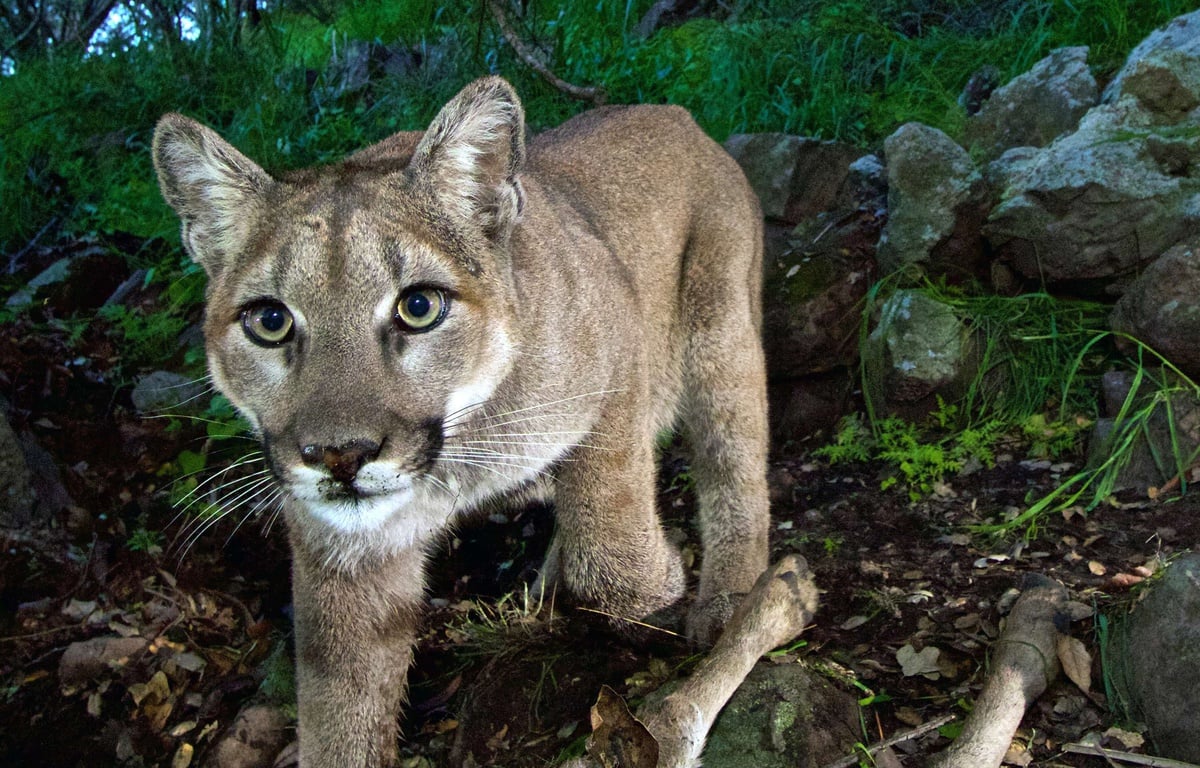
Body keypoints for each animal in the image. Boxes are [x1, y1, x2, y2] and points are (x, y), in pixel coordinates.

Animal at [152, 75, 768, 763]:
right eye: (269, 321)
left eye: (419, 306)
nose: (341, 456)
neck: (457, 453)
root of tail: (673, 112)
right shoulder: (342, 552)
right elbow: (340, 711)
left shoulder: (619, 345)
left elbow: (608, 536)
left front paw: (653, 590)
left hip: (720, 332)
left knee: (736, 465)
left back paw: (730, 600)